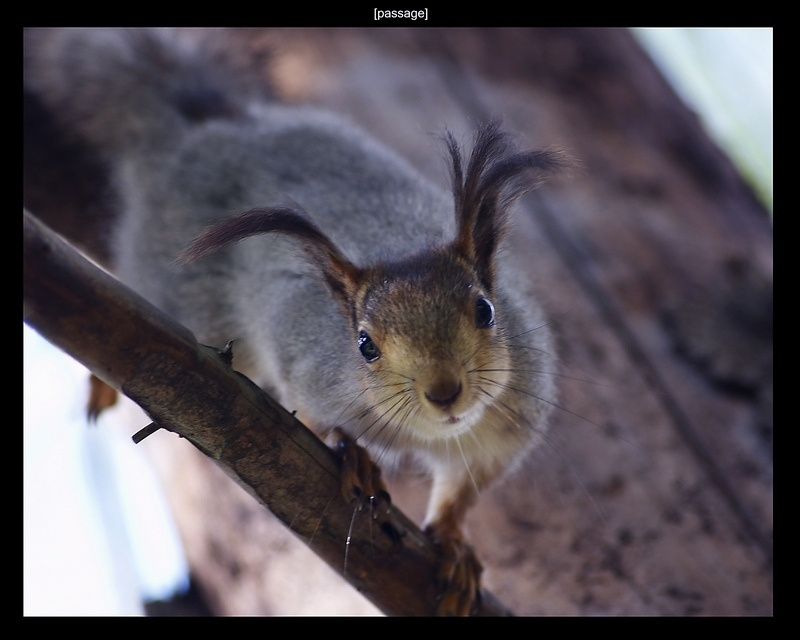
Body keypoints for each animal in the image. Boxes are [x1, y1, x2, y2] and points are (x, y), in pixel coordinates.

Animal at [24, 28, 566, 615]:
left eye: (486, 310)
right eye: (365, 345)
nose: (444, 393)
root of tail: (211, 129)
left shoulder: (507, 426)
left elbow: (465, 491)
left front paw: (454, 544)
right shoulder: (306, 365)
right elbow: (316, 417)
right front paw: (356, 455)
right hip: (179, 293)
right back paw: (103, 379)